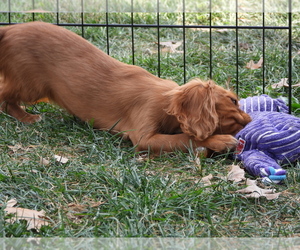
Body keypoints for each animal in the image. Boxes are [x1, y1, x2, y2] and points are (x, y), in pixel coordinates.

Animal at [0, 22, 251, 154]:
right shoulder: (143, 136)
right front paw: (220, 141)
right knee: (5, 96)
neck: (166, 102)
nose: (250, 120)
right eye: (233, 101)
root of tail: (10, 29)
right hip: (31, 86)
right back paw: (26, 117)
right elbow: (185, 138)